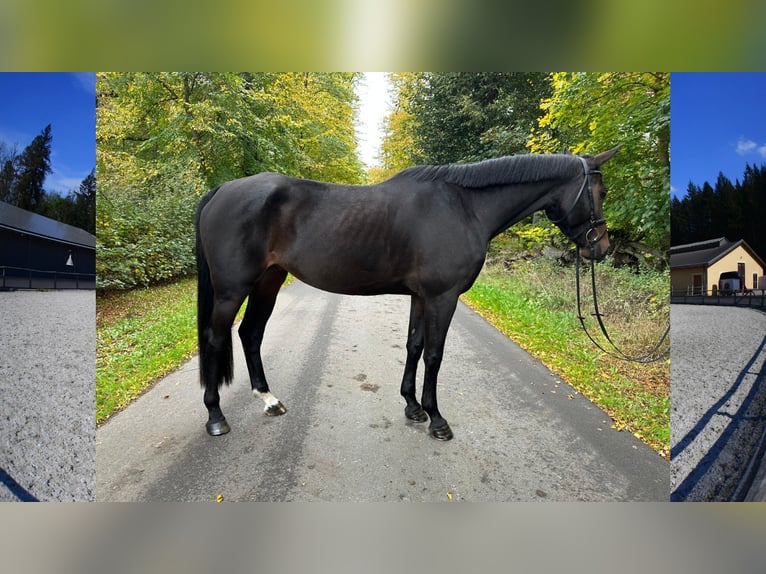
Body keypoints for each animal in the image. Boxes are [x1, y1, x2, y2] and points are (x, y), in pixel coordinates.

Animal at [195, 146, 620, 440]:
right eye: (599, 191)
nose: (600, 247)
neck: (464, 208)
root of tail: (221, 190)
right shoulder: (443, 297)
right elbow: (434, 354)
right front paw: (437, 419)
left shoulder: (421, 296)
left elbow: (414, 346)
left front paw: (413, 407)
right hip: (232, 289)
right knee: (216, 338)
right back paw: (216, 417)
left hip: (269, 281)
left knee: (250, 333)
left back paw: (269, 400)